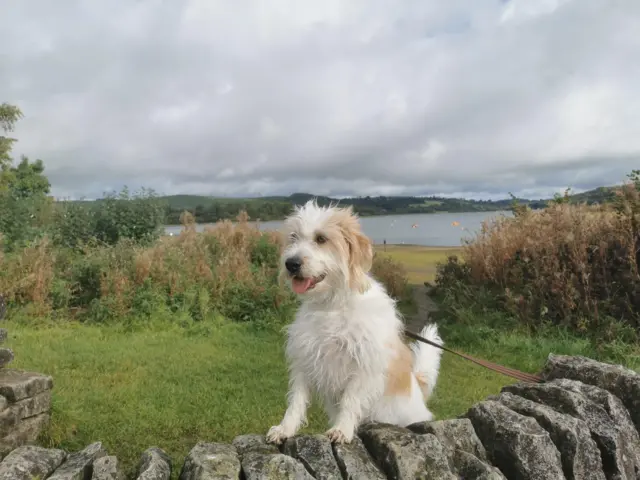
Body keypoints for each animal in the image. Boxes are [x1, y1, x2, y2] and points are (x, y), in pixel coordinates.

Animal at [264, 201, 440, 444]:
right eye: (293, 237)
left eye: (321, 238)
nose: (291, 264)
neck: (333, 306)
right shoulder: (305, 361)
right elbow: (296, 401)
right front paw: (285, 428)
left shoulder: (364, 366)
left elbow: (350, 400)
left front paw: (342, 429)